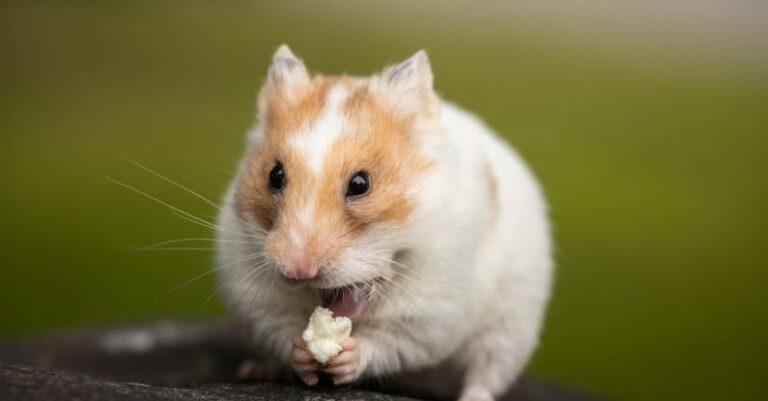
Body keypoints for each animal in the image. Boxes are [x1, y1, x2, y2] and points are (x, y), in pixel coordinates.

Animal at [216, 44, 552, 400]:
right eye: (275, 175)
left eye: (360, 184)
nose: (298, 271)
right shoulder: (259, 299)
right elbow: (284, 330)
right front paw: (304, 354)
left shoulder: (430, 313)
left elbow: (388, 341)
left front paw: (345, 356)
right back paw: (258, 369)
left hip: (510, 329)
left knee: (485, 372)